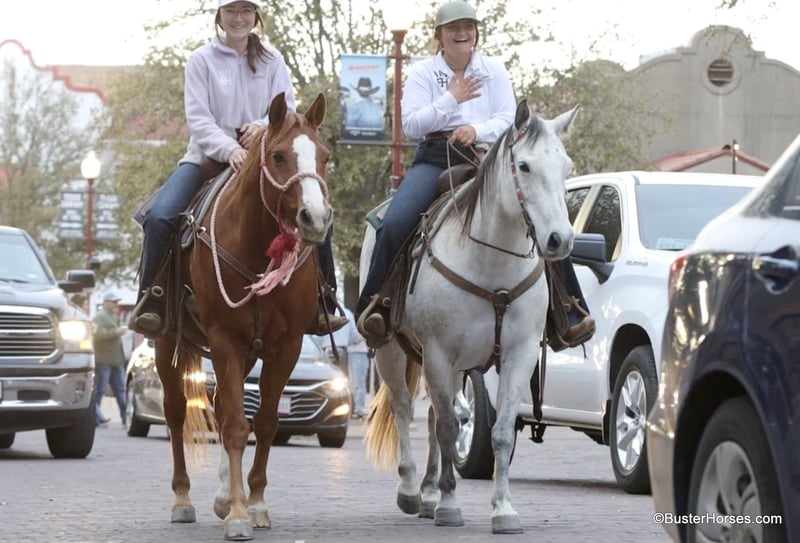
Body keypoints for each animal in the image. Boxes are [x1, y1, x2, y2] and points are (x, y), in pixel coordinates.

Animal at [154, 92, 332, 541]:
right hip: (166, 343)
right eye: (279, 155)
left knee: (218, 406)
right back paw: (182, 499)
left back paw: (219, 495)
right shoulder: (223, 339)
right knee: (175, 412)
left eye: (324, 156)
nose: (316, 218)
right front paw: (237, 513)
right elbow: (236, 425)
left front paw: (253, 503)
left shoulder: (286, 345)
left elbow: (264, 422)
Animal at [362, 101, 579, 534]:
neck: (492, 265)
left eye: (566, 167)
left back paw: (428, 493)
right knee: (403, 408)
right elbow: (448, 428)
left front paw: (503, 509)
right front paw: (449, 505)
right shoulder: (439, 353)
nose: (559, 240)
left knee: (430, 415)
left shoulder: (519, 354)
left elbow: (499, 433)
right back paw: (412, 490)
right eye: (524, 166)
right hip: (392, 349)